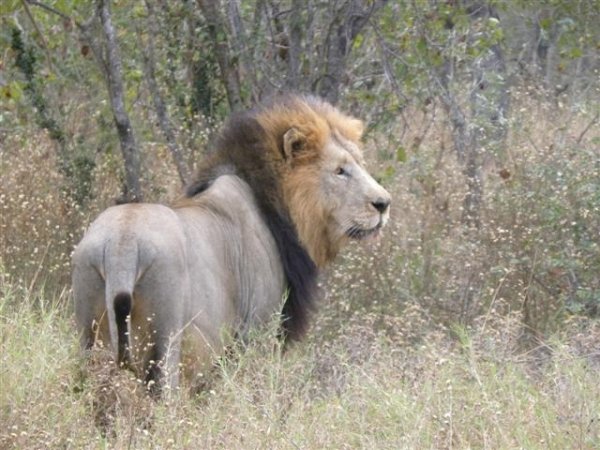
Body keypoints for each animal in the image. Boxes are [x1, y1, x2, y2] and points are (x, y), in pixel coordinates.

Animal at [72, 95, 392, 394]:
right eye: (340, 171)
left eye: (360, 164)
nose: (384, 203)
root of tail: (122, 246)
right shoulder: (257, 332)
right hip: (166, 343)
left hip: (89, 335)